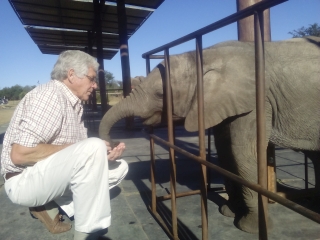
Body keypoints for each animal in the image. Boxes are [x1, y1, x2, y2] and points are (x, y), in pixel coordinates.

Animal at [99, 37, 320, 232]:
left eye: (160, 95)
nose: (114, 146)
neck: (203, 58)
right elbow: (225, 151)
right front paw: (229, 212)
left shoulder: (256, 100)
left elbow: (243, 153)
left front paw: (250, 227)